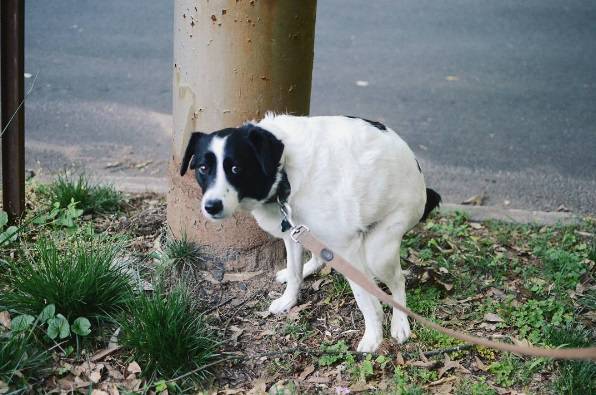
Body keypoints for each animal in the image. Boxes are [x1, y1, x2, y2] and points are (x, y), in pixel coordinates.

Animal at [179, 114, 440, 352]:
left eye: (236, 168)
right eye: (203, 168)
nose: (211, 206)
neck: (284, 172)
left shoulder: (347, 248)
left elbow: (365, 299)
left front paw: (374, 336)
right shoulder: (292, 233)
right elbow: (295, 274)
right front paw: (288, 299)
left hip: (380, 250)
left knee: (398, 281)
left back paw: (400, 322)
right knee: (318, 258)